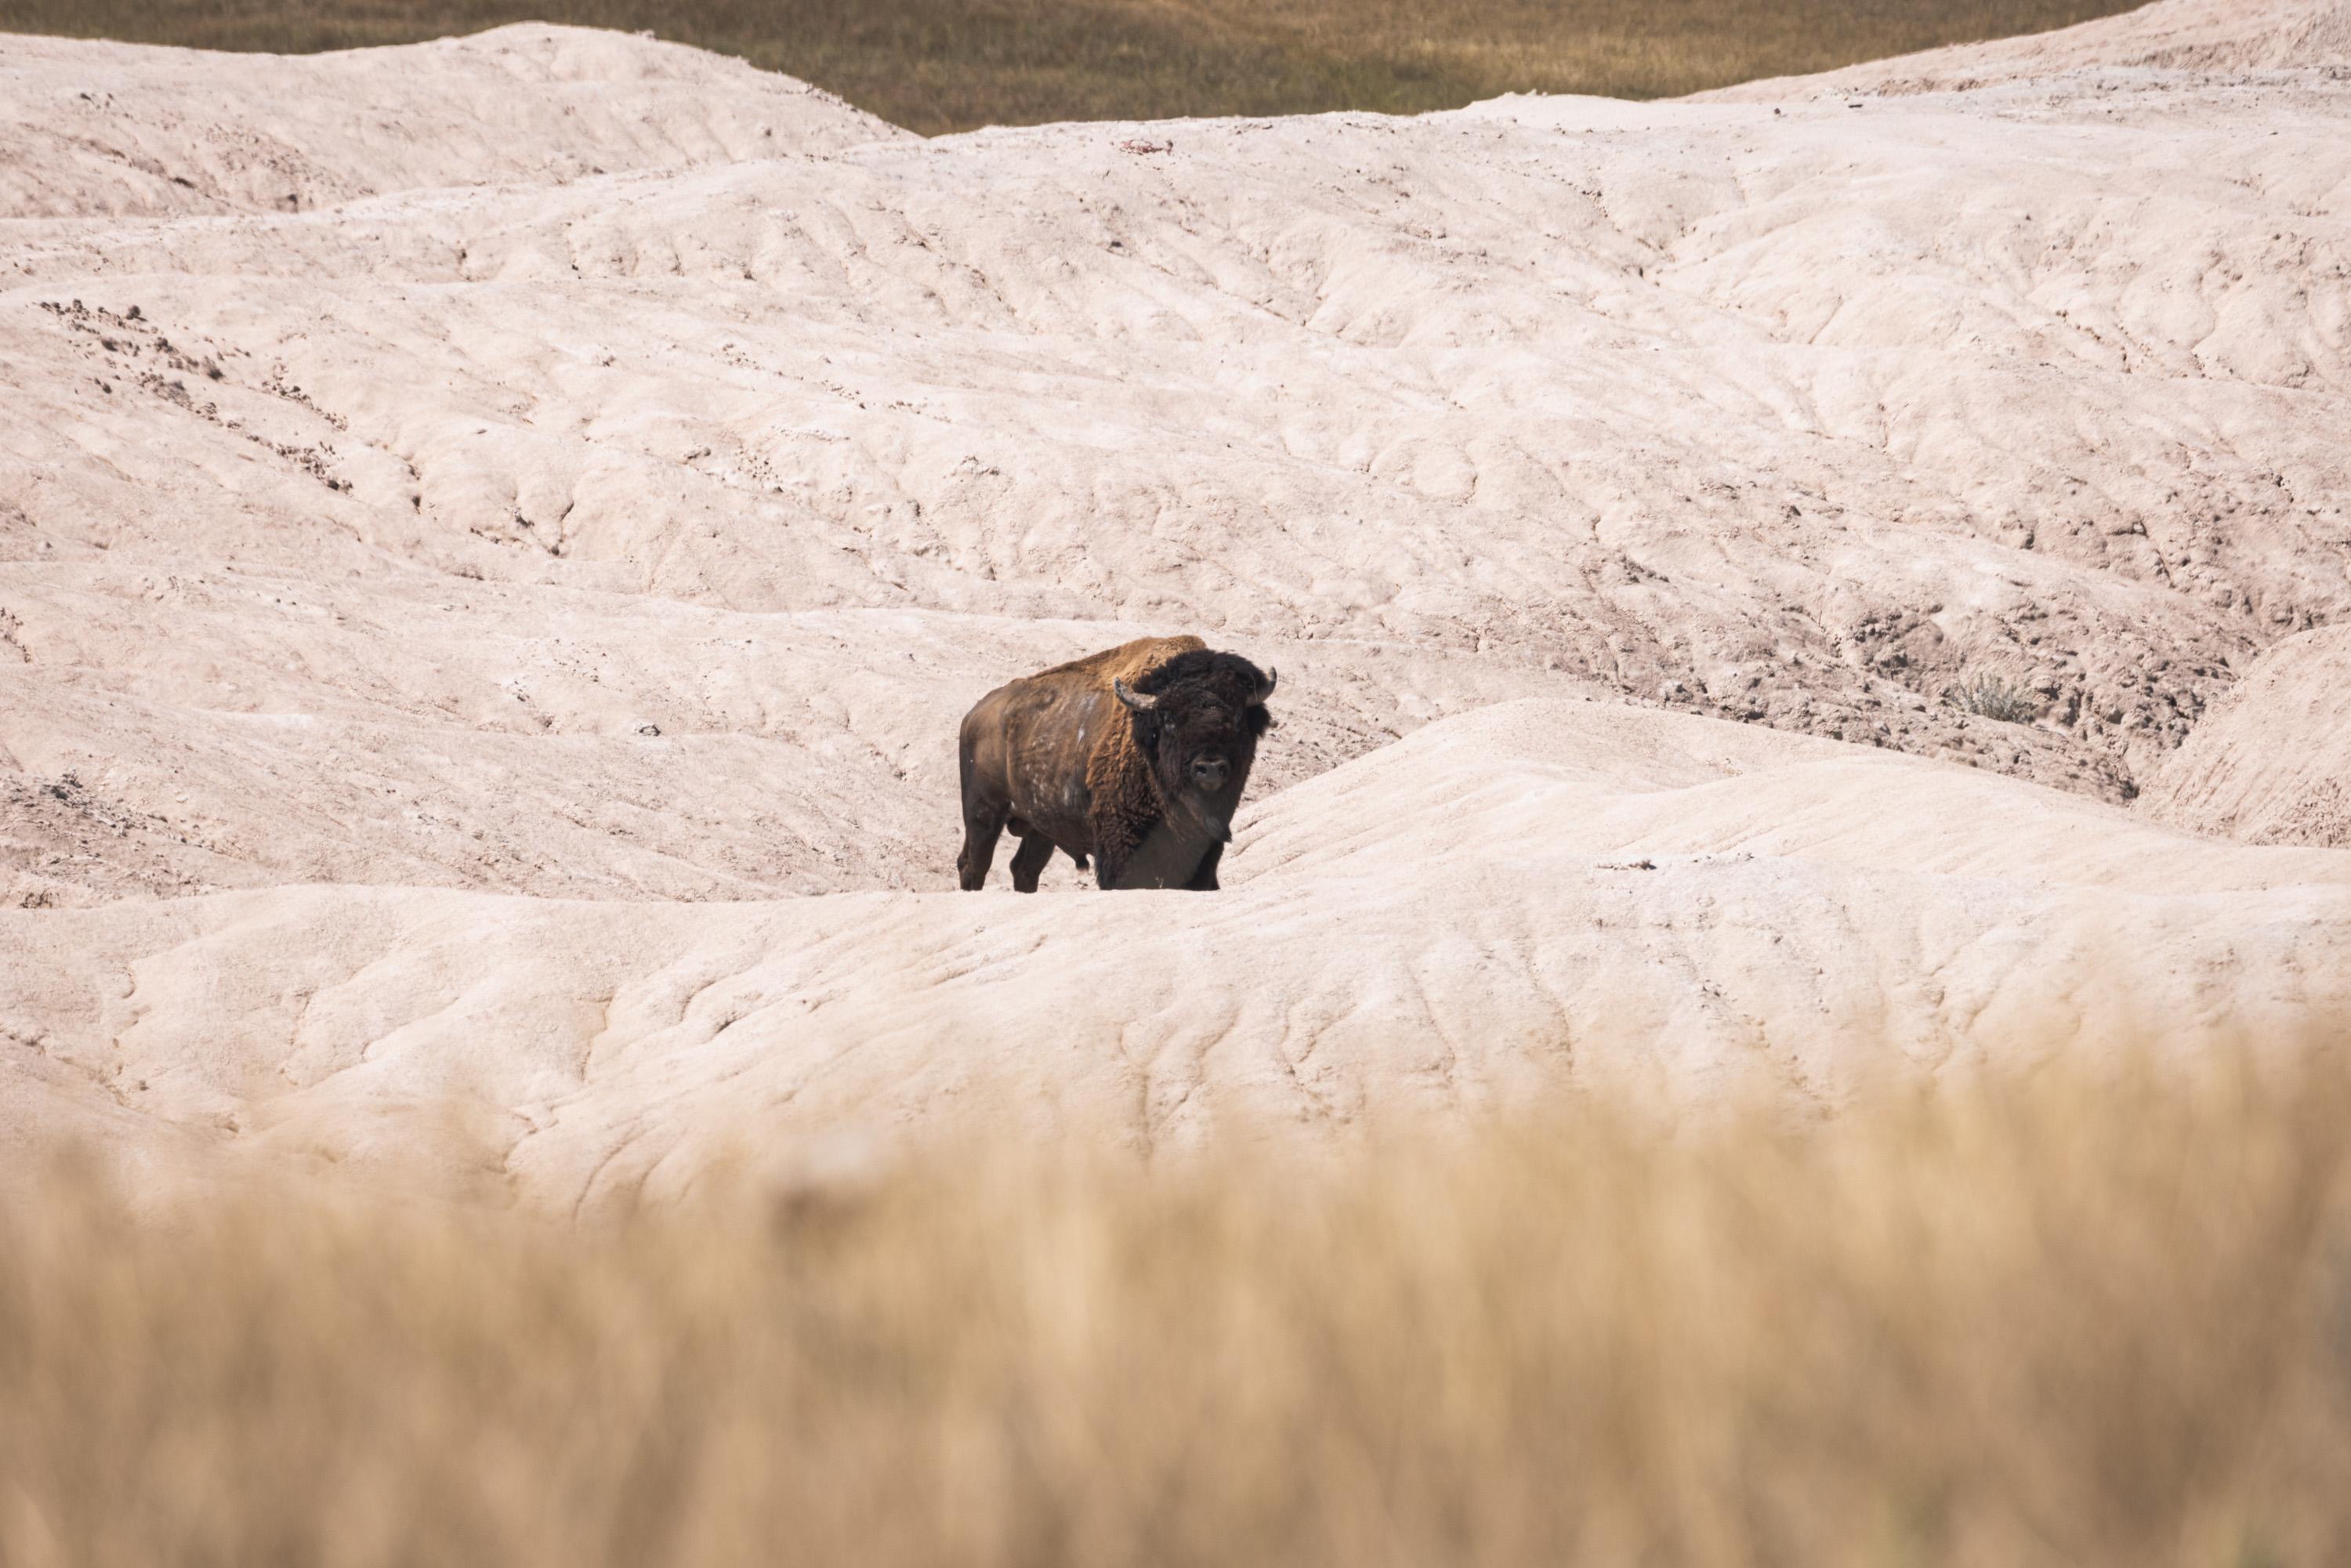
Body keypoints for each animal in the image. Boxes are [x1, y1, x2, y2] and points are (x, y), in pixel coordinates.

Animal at [957, 636, 1277, 891]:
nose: (1209, 767)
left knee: (1024, 868)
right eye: (1170, 720)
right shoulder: (1120, 844)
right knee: (973, 863)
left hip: (1040, 828)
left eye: (1238, 719)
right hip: (983, 811)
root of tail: (974, 714)